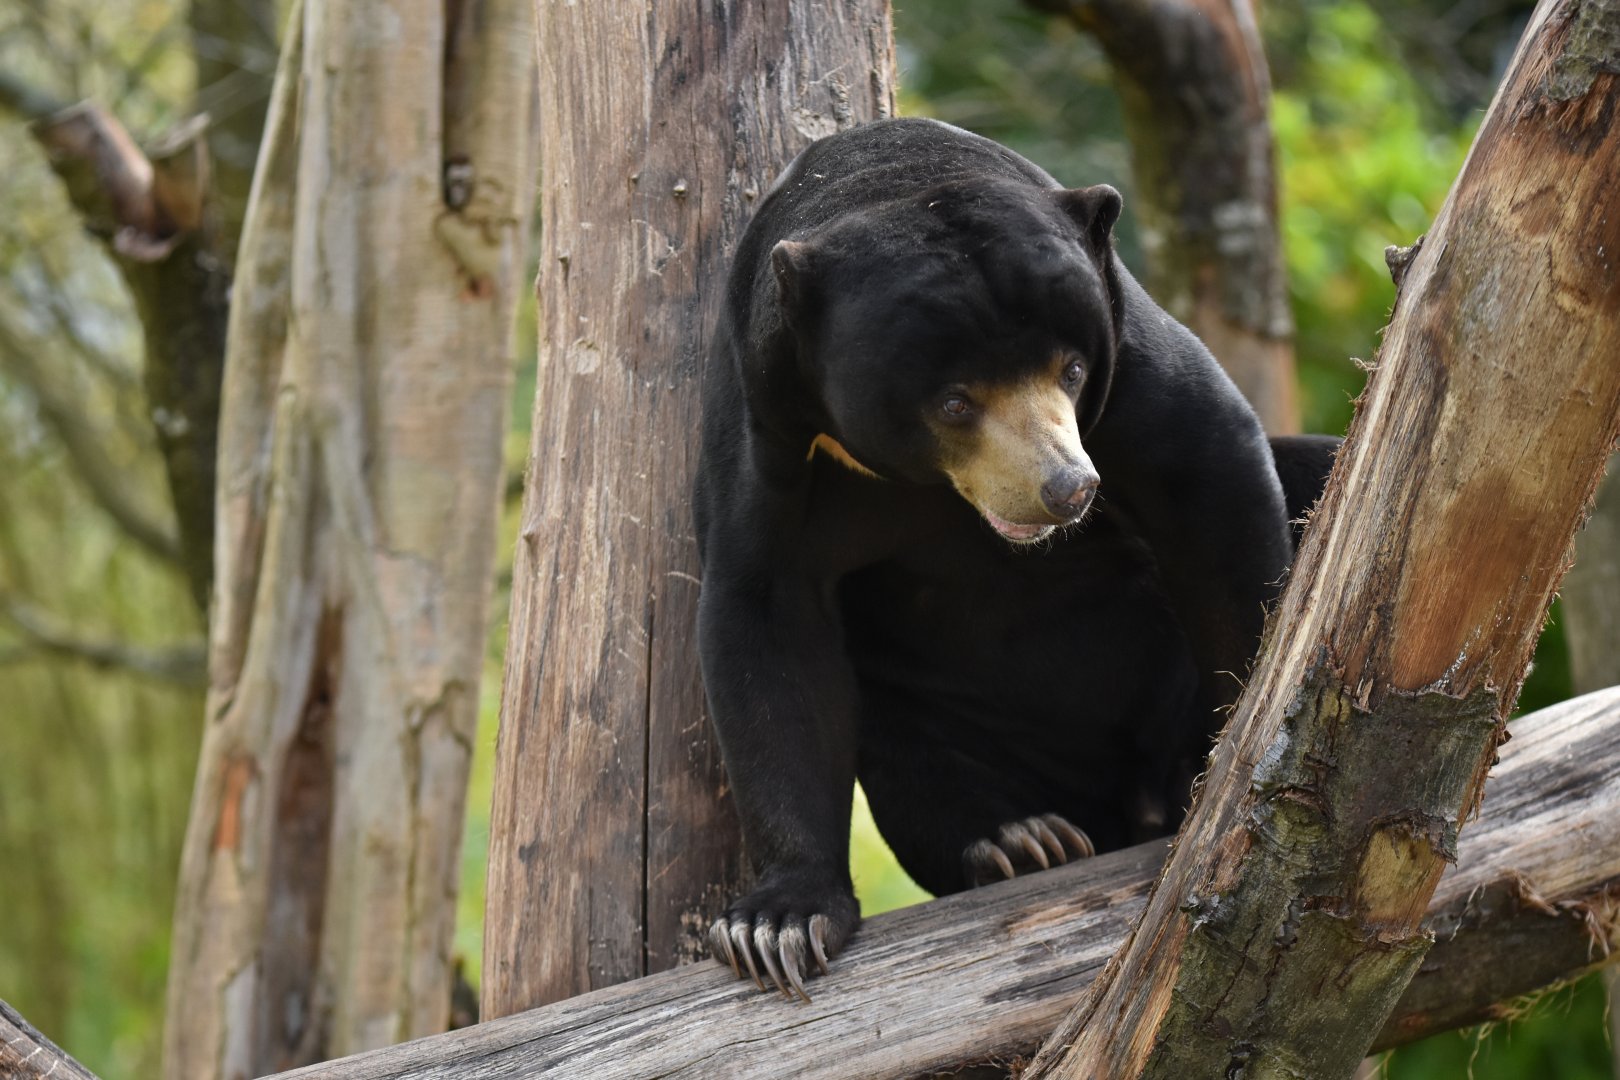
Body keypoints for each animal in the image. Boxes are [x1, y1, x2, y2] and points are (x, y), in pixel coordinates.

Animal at [692, 117, 1337, 1000]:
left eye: (1070, 369)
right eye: (954, 402)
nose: (1068, 488)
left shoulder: (1126, 346)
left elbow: (1209, 469)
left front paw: (1229, 767)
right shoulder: (768, 419)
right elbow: (766, 615)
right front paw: (776, 925)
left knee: (1316, 467)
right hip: (926, 722)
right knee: (911, 761)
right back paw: (1018, 841)